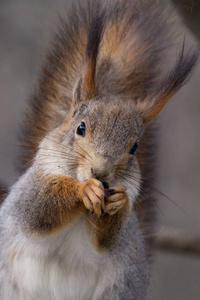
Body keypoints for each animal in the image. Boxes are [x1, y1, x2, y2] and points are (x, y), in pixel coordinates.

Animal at [0, 0, 198, 300]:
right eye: (81, 128)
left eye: (134, 147)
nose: (101, 173)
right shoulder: (31, 188)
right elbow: (40, 209)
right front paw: (85, 190)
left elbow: (107, 240)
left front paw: (119, 203)